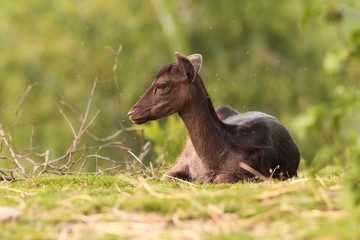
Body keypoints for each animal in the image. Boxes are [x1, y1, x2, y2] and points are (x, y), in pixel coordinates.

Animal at [128, 52, 300, 183]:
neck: (211, 163)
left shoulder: (255, 170)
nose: (132, 112)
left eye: (162, 85)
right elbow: (166, 176)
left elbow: (220, 179)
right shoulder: (182, 162)